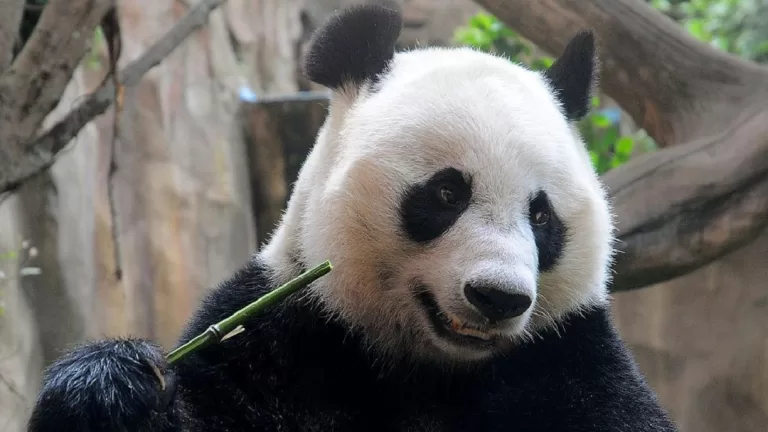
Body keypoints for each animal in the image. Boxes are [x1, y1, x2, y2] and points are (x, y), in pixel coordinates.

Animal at [27, 4, 678, 432]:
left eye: (542, 216)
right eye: (446, 194)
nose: (498, 297)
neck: (431, 368)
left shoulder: (567, 360)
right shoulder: (285, 340)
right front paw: (110, 386)